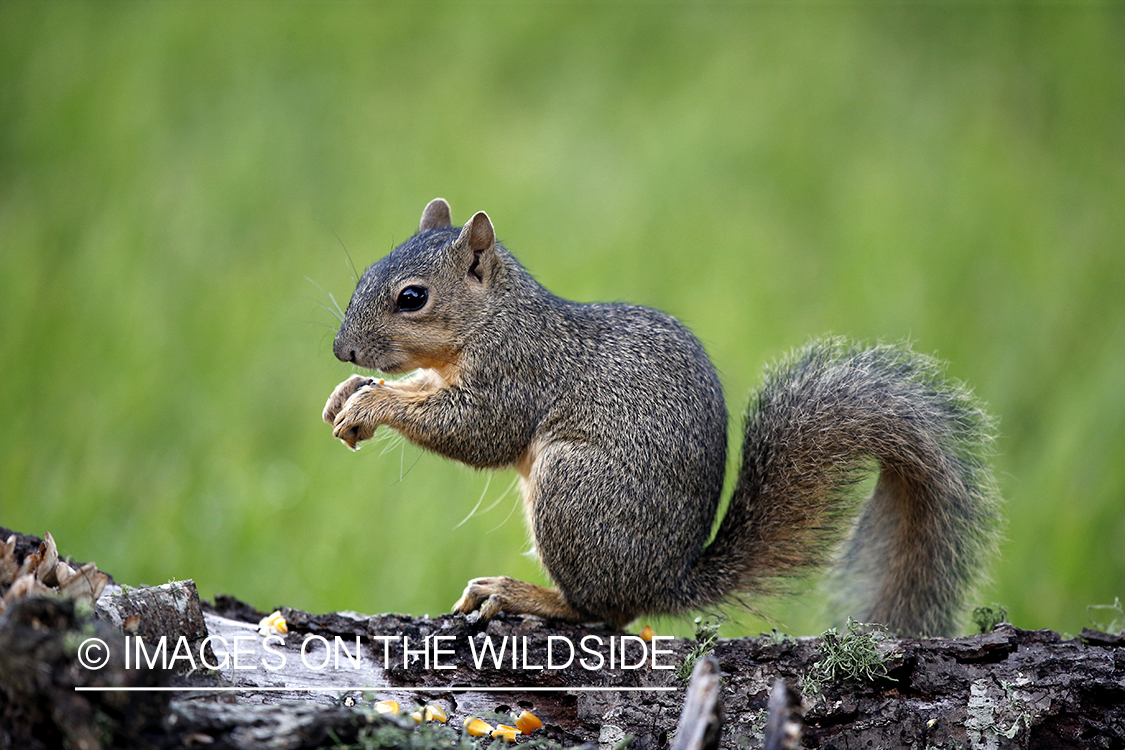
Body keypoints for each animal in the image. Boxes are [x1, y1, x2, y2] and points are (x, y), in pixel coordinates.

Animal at [322, 198, 1001, 637]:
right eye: (366, 273)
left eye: (413, 298)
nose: (341, 349)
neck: (494, 318)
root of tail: (667, 580)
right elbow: (421, 390)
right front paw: (347, 393)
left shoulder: (517, 376)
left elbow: (476, 431)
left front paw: (373, 402)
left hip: (574, 491)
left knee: (605, 610)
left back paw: (520, 594)